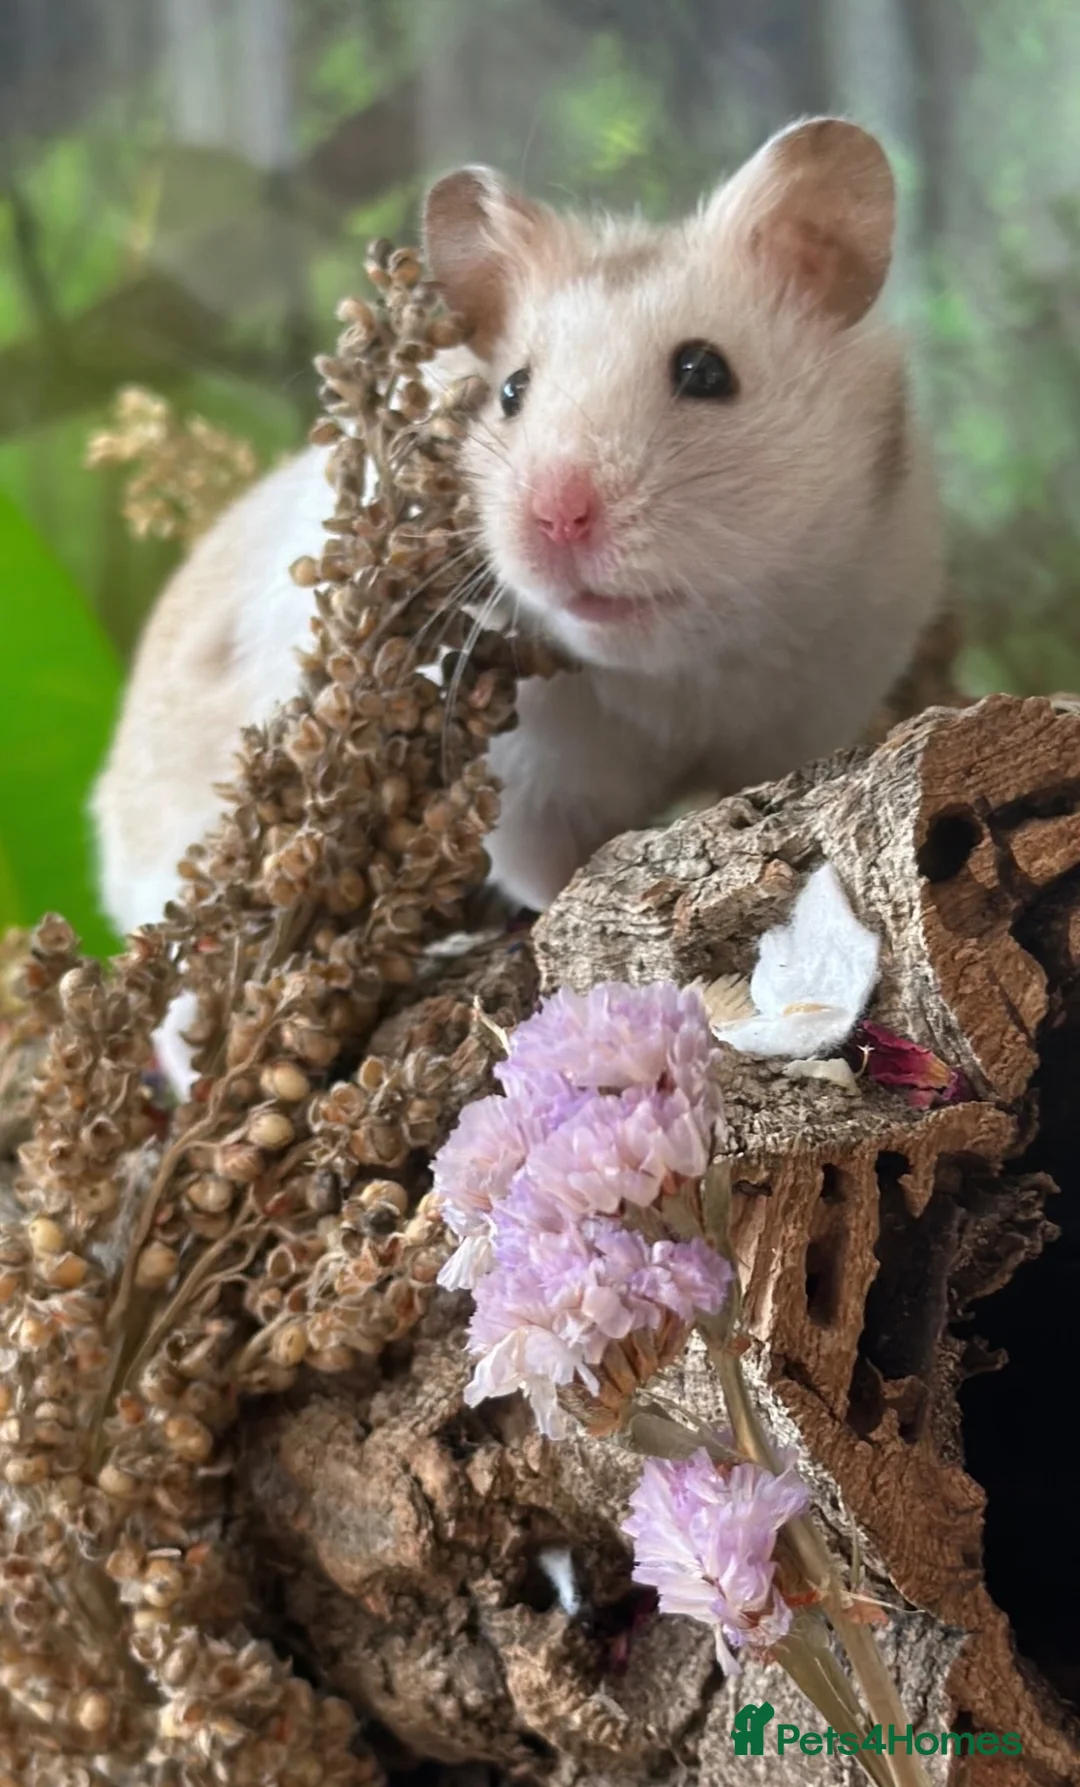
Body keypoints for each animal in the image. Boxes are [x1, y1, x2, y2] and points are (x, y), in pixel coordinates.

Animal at [92, 117, 941, 1089]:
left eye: (705, 370)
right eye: (511, 392)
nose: (555, 516)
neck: (675, 668)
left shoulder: (808, 701)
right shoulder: (521, 783)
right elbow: (547, 870)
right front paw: (540, 927)